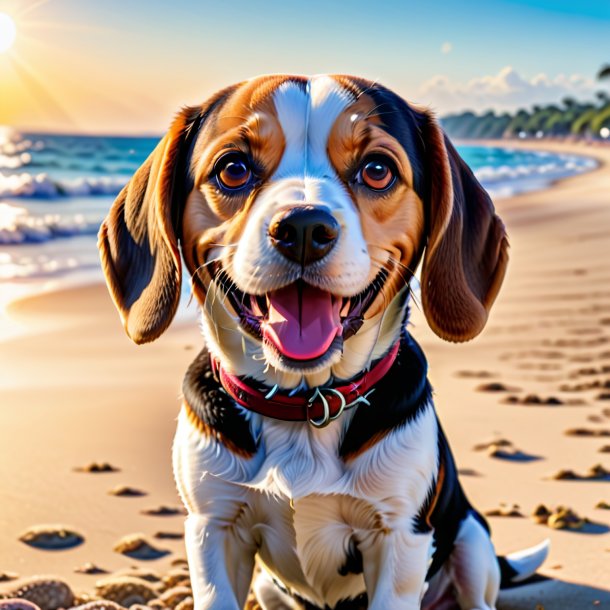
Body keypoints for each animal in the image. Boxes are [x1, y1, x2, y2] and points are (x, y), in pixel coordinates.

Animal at [98, 73, 548, 604]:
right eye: (233, 169)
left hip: (472, 542)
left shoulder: (400, 539)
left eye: (377, 170)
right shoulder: (212, 527)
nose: (304, 226)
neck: (305, 403)